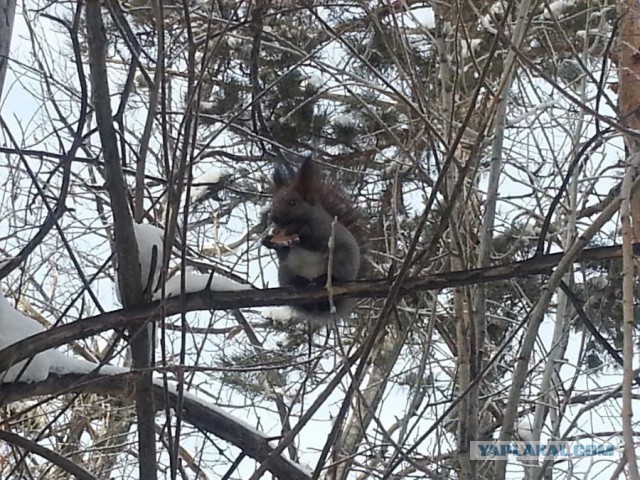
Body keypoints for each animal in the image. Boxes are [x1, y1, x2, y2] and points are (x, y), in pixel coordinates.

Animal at [262, 158, 362, 322]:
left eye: (292, 202)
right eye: (273, 202)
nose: (273, 217)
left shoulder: (324, 230)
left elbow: (316, 240)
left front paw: (299, 232)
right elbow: (283, 253)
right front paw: (268, 241)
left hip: (342, 261)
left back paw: (324, 279)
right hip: (285, 271)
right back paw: (299, 283)